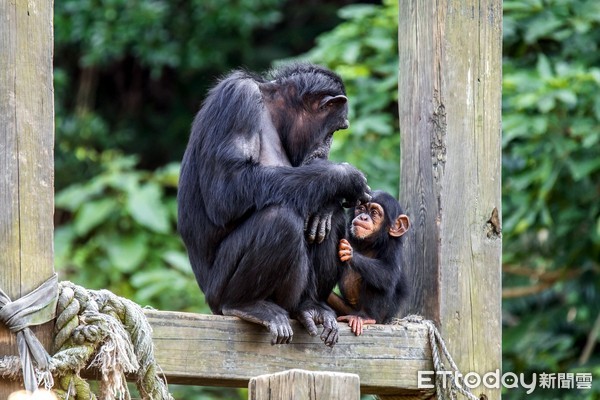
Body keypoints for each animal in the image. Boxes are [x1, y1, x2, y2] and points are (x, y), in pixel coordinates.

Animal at [177, 63, 370, 346]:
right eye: (334, 130)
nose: (327, 148)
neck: (273, 112)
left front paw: (327, 203)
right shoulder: (238, 100)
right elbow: (227, 187)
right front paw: (343, 177)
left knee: (332, 221)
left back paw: (311, 306)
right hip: (217, 293)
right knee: (279, 220)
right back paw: (246, 305)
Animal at [326, 191, 410, 334]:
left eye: (374, 212)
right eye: (361, 208)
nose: (364, 217)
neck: (369, 243)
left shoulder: (394, 248)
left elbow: (389, 273)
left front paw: (349, 252)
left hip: (382, 316)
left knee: (378, 281)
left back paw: (365, 317)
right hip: (346, 310)